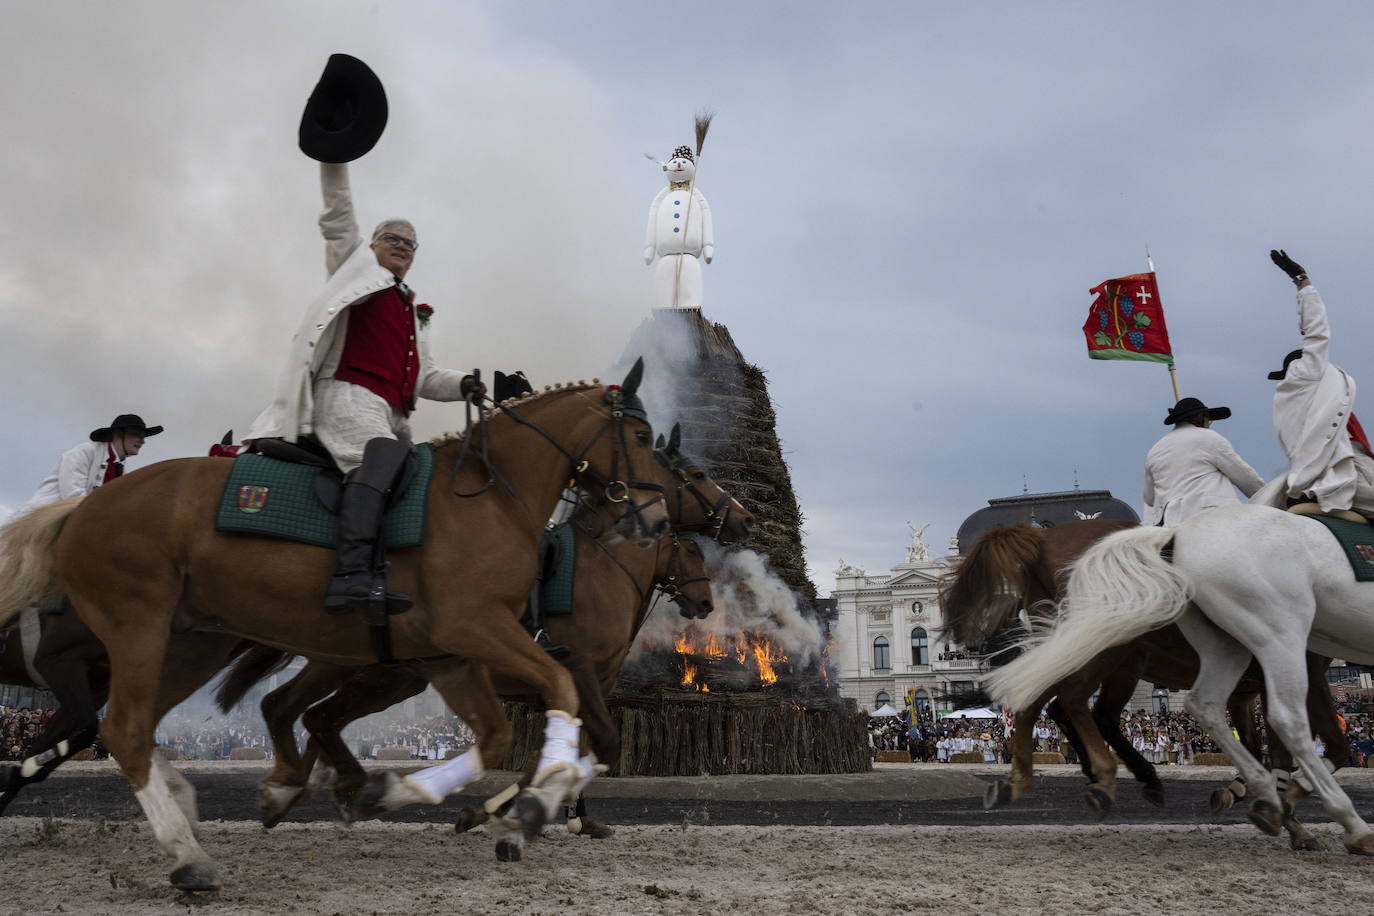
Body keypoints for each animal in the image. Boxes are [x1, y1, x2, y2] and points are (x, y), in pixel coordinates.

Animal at [0, 368, 681, 889]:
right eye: (642, 435)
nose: (656, 519)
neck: (488, 501)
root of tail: (81, 510)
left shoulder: (452, 656)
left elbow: (497, 738)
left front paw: (409, 798)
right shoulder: (485, 632)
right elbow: (567, 707)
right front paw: (528, 810)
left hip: (194, 643)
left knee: (155, 724)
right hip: (141, 628)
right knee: (128, 728)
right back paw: (191, 853)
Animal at [989, 497, 1374, 856]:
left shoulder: (1250, 689)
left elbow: (1260, 746)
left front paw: (1259, 798)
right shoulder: (1291, 669)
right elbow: (1318, 745)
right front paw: (1285, 809)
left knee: (1058, 704)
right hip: (1110, 654)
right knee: (1071, 706)